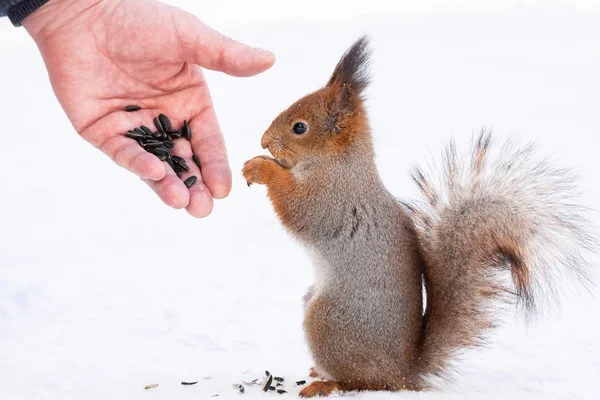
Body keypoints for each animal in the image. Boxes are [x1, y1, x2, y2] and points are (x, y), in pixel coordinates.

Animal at [240, 35, 596, 396]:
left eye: (300, 127)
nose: (264, 141)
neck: (339, 162)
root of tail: (403, 373)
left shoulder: (329, 198)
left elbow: (295, 207)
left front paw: (260, 168)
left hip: (327, 322)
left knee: (360, 381)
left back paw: (326, 384)